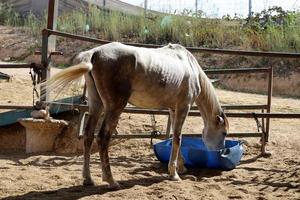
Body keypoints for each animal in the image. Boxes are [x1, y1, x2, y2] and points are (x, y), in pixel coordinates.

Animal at [42, 41, 229, 189]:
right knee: (102, 138)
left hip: (96, 104)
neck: (189, 65)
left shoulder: (173, 109)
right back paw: (111, 181)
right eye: (224, 132)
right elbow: (178, 137)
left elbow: (174, 137)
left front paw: (179, 168)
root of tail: (94, 53)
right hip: (114, 107)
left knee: (88, 136)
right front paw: (174, 174)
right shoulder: (184, 107)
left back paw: (88, 179)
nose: (221, 151)